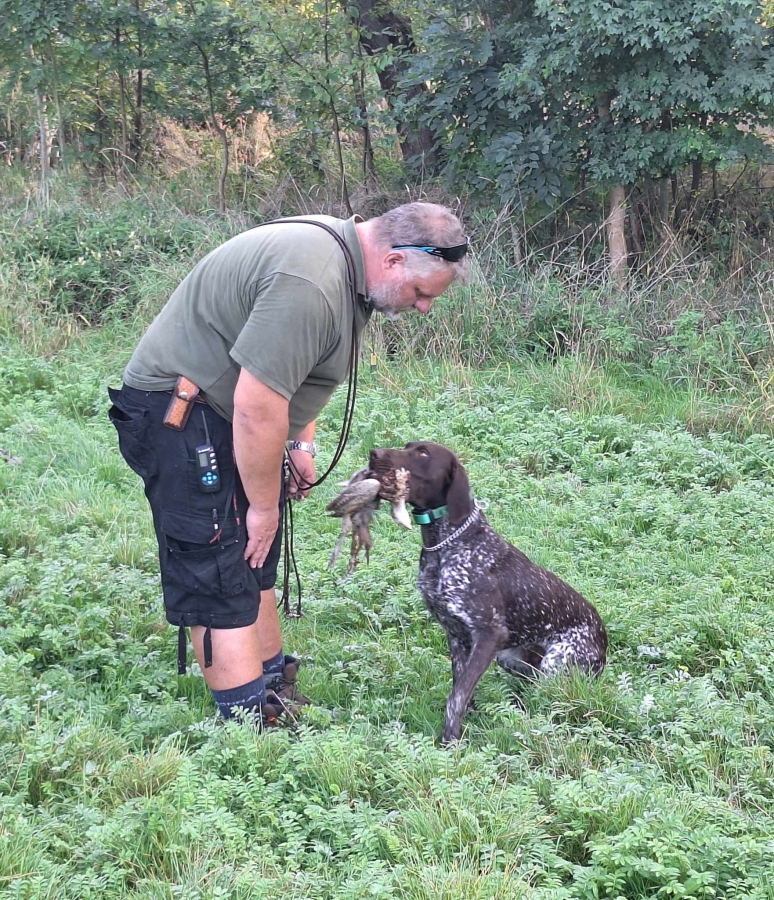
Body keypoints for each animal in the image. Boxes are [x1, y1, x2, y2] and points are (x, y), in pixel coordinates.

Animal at [370, 442, 607, 744]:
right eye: (407, 446)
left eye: (422, 453)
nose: (373, 453)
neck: (448, 543)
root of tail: (604, 641)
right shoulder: (457, 636)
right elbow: (462, 688)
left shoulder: (489, 634)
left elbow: (456, 696)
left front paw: (450, 741)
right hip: (510, 657)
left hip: (556, 662)